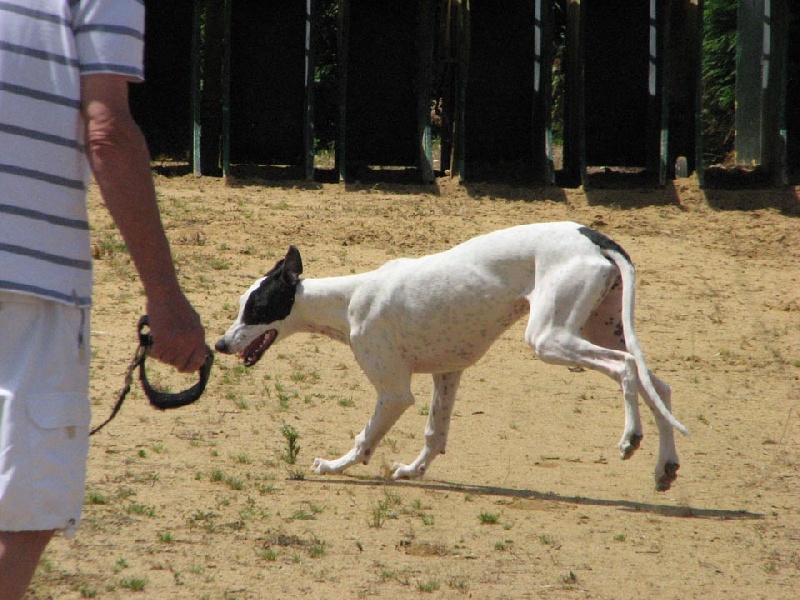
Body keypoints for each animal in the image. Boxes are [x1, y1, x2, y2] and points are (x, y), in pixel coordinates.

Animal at [214, 223, 688, 490]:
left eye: (255, 309)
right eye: (242, 306)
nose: (220, 345)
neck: (347, 299)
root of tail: (593, 236)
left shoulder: (394, 393)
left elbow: (365, 438)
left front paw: (334, 466)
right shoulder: (447, 373)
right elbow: (434, 435)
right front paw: (412, 471)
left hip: (549, 338)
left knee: (625, 368)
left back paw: (631, 438)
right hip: (596, 326)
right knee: (658, 385)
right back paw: (665, 466)